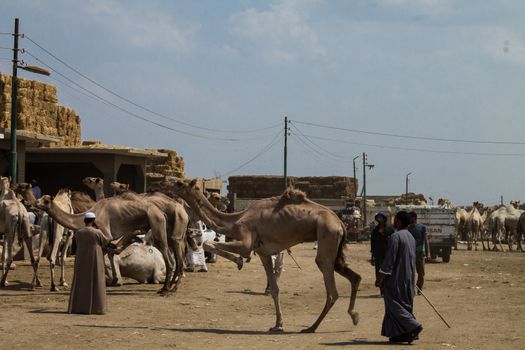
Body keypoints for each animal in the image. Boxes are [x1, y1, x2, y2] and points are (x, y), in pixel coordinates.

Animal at [168, 180, 360, 334]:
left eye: (179, 184)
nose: (167, 184)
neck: (235, 220)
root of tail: (340, 222)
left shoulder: (246, 241)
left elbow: (210, 244)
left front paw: (239, 261)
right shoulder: (263, 252)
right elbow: (274, 289)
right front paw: (278, 325)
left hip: (327, 234)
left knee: (331, 288)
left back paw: (311, 327)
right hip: (335, 245)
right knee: (353, 276)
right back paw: (354, 315)